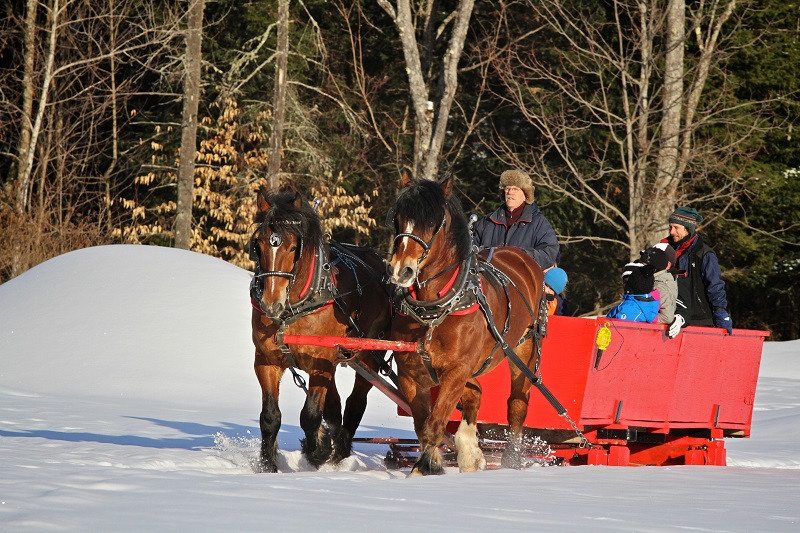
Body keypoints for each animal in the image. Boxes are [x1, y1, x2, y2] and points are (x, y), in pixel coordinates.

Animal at [247, 189, 390, 472]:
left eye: (293, 247)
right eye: (258, 245)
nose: (271, 303)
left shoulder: (320, 361)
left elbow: (310, 415)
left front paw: (317, 452)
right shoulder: (266, 360)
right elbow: (270, 417)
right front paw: (268, 464)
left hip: (368, 356)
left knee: (355, 404)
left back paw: (340, 452)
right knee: (334, 408)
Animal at [384, 177, 548, 476]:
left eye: (433, 222)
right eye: (398, 218)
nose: (401, 270)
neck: (435, 309)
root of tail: (520, 255)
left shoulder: (456, 370)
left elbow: (434, 424)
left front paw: (422, 469)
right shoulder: (410, 372)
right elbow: (421, 424)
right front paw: (435, 463)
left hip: (525, 349)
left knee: (517, 404)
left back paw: (511, 460)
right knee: (477, 392)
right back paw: (472, 453)